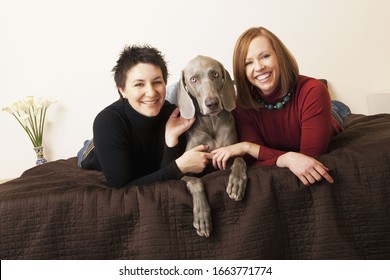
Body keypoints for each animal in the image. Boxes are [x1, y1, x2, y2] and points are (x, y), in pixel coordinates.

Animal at [167, 55, 247, 238]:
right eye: (193, 79)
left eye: (215, 74)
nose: (212, 103)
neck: (211, 122)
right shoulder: (183, 171)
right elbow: (196, 182)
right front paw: (202, 218)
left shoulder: (224, 157)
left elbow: (239, 159)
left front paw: (236, 183)